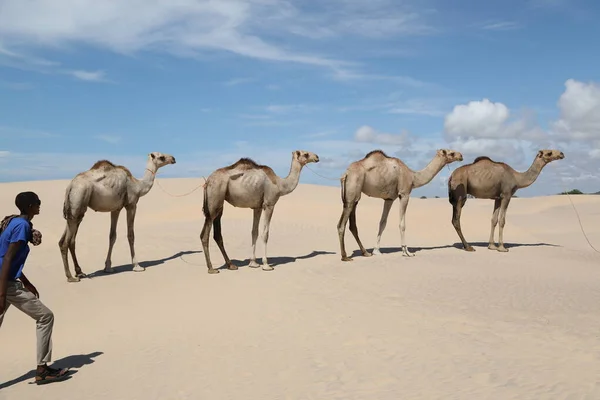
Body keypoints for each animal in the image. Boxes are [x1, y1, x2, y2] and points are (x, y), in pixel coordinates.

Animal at [58, 152, 176, 282]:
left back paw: (79, 272)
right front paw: (137, 266)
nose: (173, 159)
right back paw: (70, 277)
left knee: (68, 240)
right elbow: (131, 235)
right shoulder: (131, 205)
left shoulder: (116, 209)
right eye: (162, 157)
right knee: (66, 242)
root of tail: (70, 186)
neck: (138, 185)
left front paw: (108, 267)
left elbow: (112, 236)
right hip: (78, 199)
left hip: (74, 209)